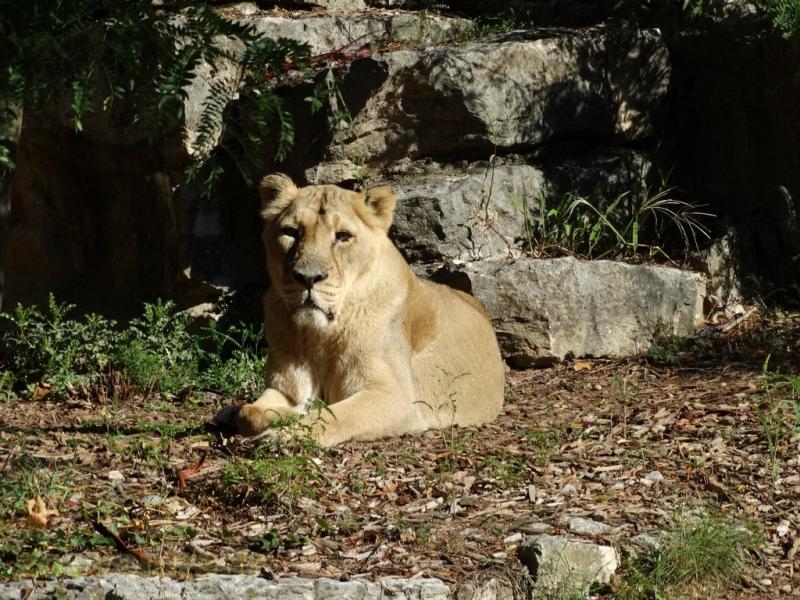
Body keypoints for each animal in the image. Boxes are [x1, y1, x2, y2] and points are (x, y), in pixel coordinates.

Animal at [219, 174, 505, 447]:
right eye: (290, 232)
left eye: (343, 236)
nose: (308, 278)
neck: (319, 336)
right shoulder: (285, 387)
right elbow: (249, 413)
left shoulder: (398, 398)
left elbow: (332, 416)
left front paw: (285, 433)